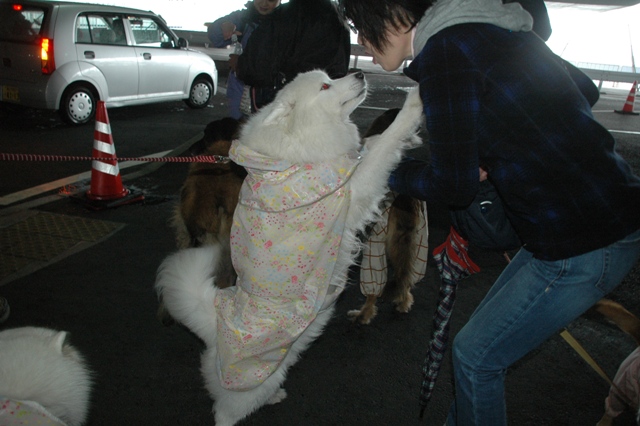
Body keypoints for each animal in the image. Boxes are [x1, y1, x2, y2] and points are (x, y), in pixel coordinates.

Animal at [344, 108, 430, 324]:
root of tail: (404, 200)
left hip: (378, 239)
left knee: (375, 288)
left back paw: (363, 314)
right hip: (420, 240)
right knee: (406, 278)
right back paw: (403, 302)